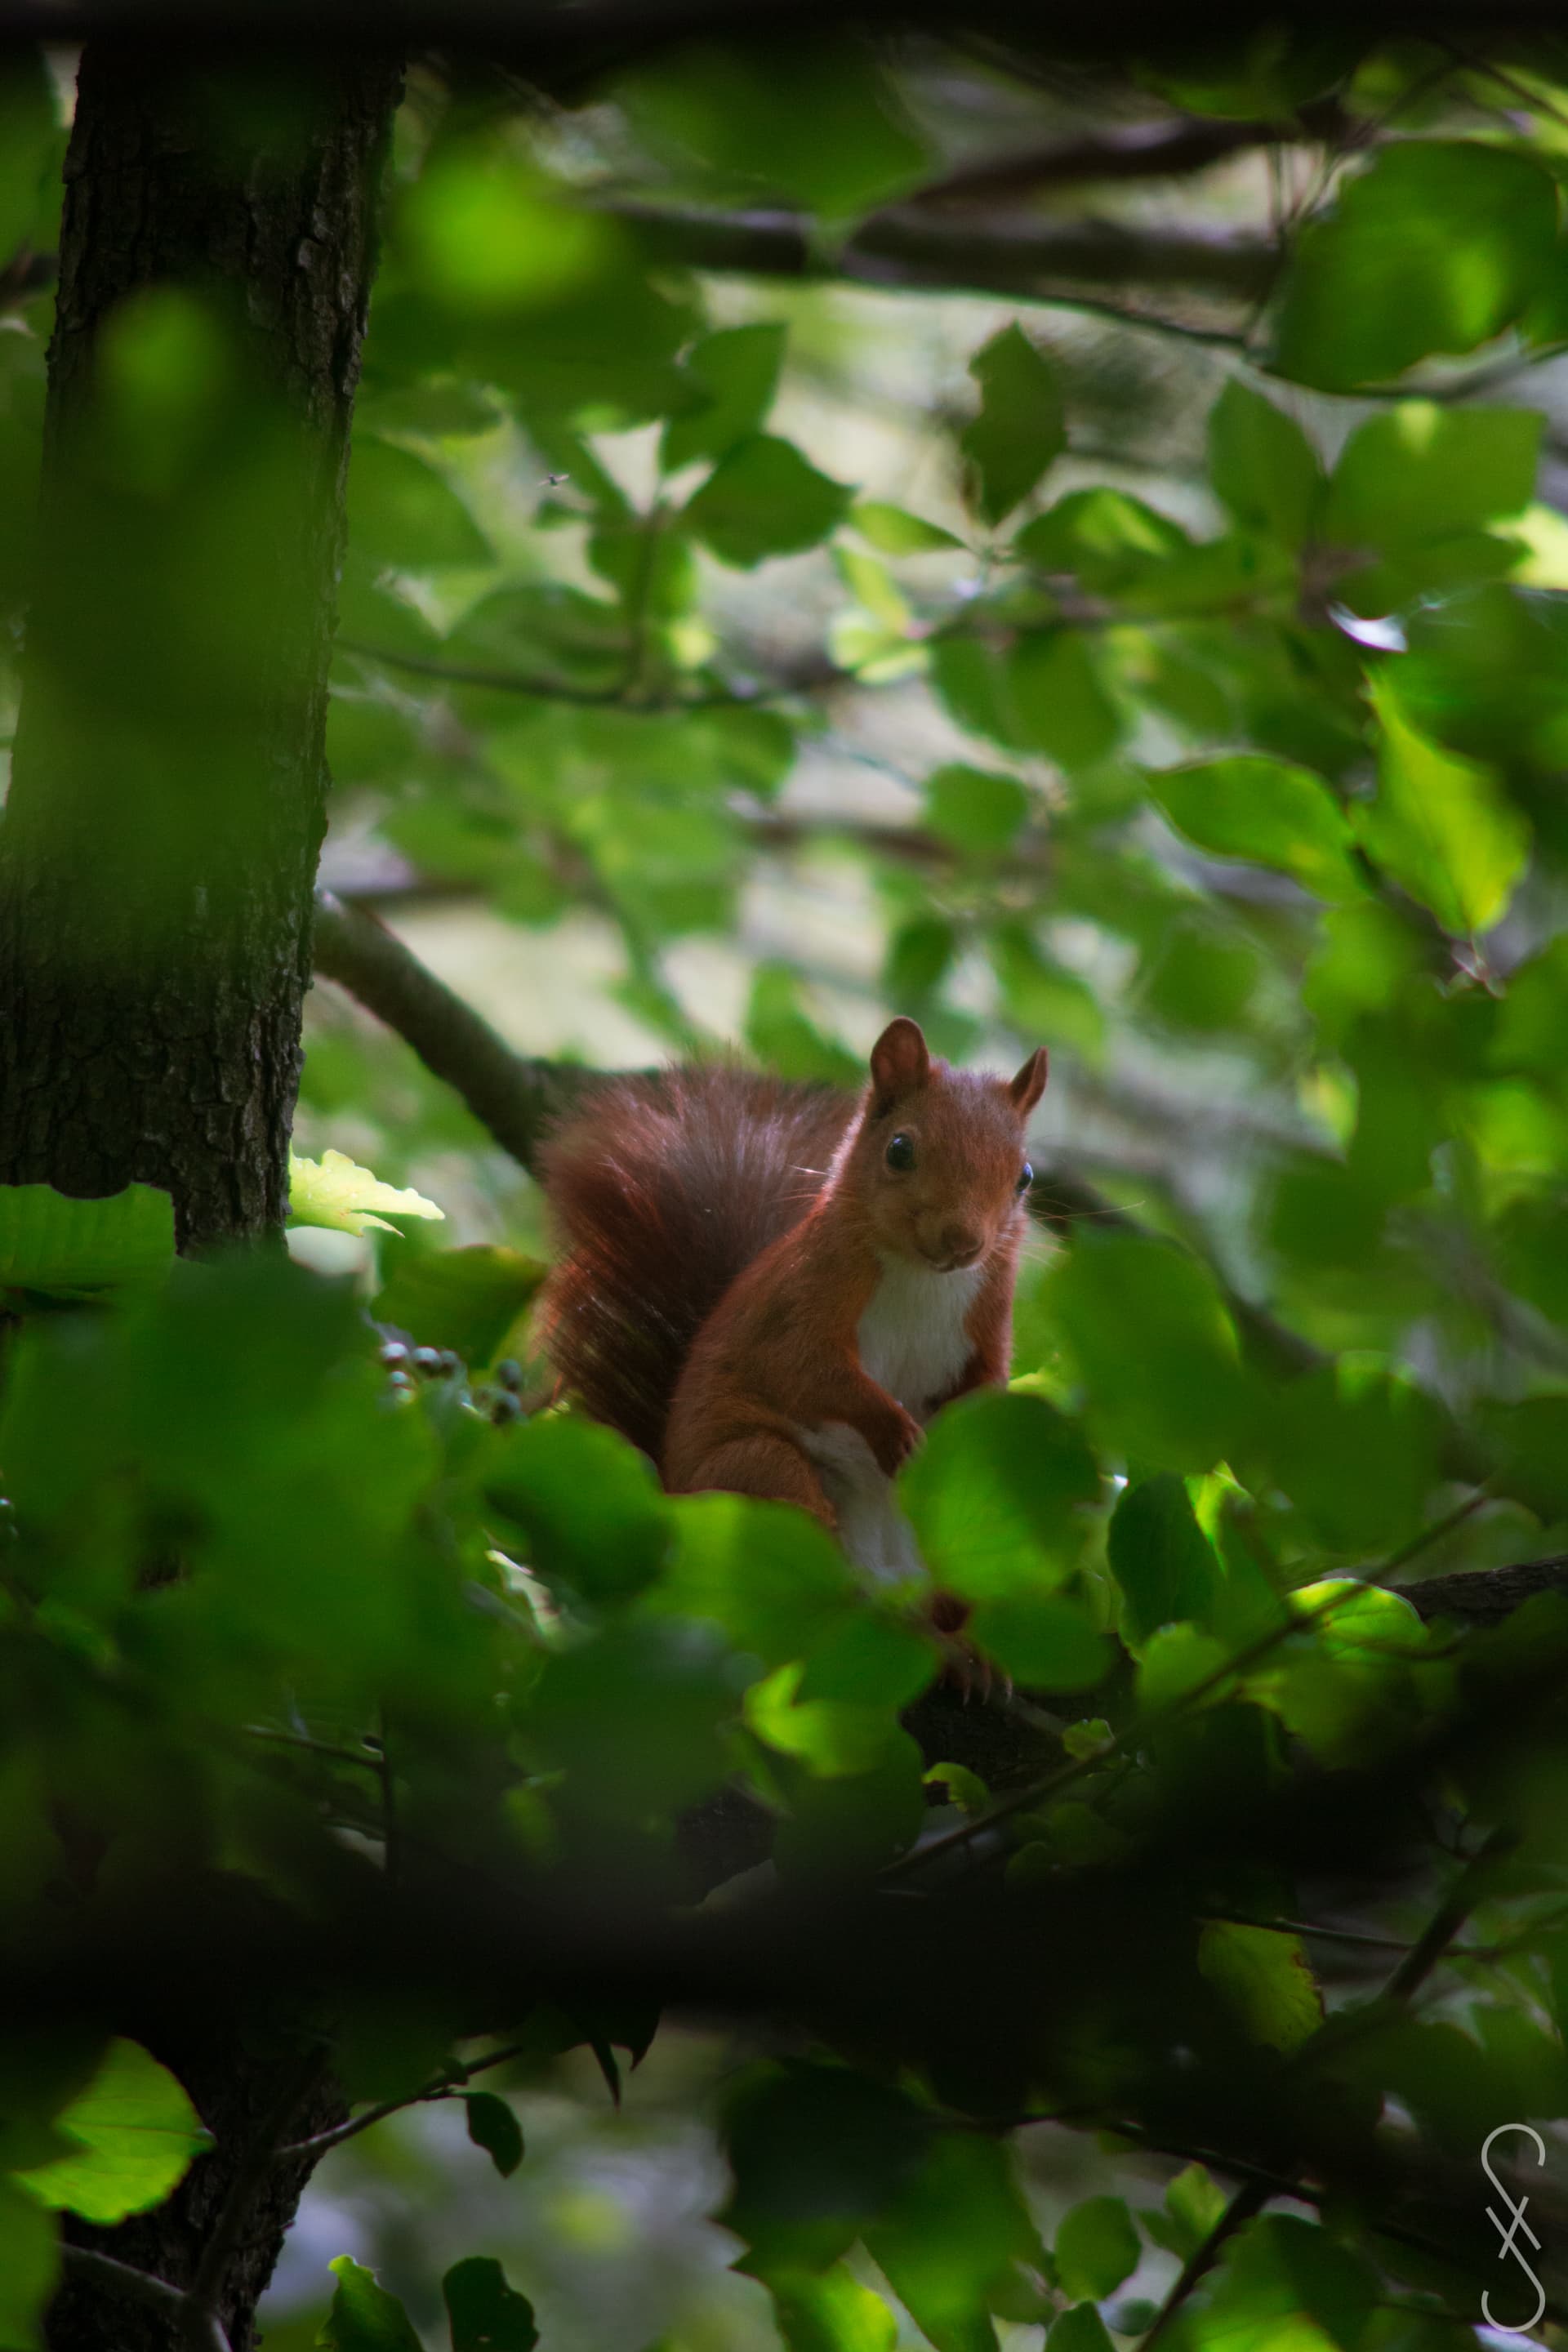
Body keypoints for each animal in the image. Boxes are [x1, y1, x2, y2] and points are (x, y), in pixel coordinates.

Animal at [537, 1017, 1047, 1579]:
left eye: (1025, 1177)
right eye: (899, 1150)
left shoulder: (988, 1321)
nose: (962, 1242)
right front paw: (893, 1429)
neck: (923, 1280)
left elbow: (986, 1387)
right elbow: (801, 1367)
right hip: (754, 1470)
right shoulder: (799, 1296)